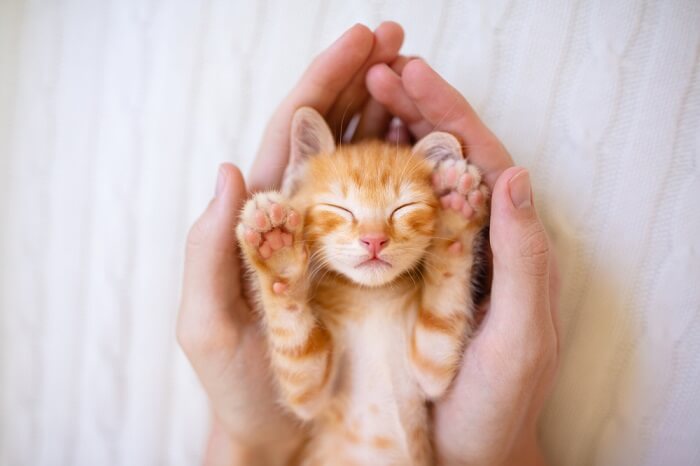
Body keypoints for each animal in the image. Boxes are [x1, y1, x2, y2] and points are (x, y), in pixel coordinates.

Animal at [238, 107, 490, 464]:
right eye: (339, 208)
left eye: (403, 208)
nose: (374, 239)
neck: (370, 298)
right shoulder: (309, 394)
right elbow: (297, 348)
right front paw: (276, 250)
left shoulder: (430, 366)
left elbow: (442, 317)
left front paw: (455, 216)